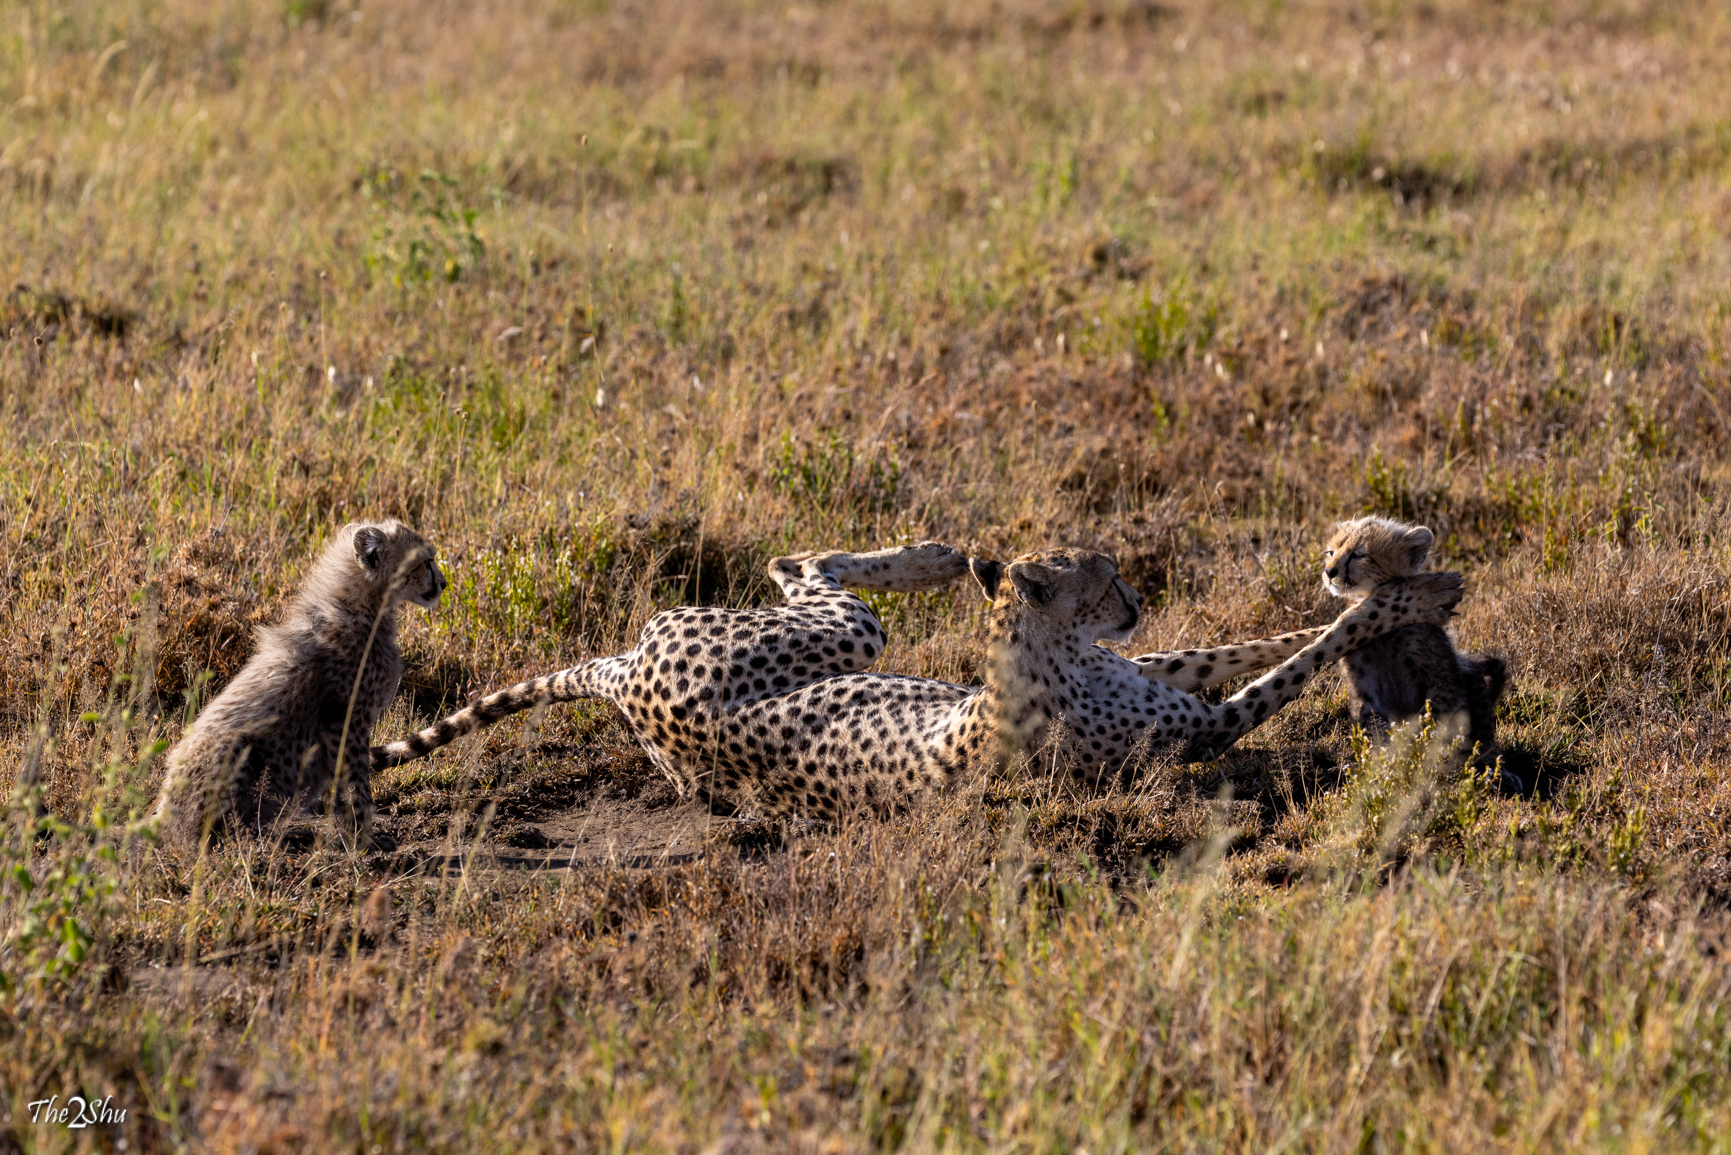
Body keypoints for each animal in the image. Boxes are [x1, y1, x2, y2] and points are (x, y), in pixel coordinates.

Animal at [152, 520, 447, 849]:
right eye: (426, 561)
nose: (444, 583)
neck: (361, 607)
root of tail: (163, 818)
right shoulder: (347, 721)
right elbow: (357, 782)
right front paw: (365, 837)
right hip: (232, 750)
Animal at [370, 540, 1463, 819]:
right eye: (1104, 573)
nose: (1137, 597)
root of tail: (625, 673)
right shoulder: (1201, 726)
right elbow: (1299, 657)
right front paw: (1412, 594)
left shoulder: (1166, 675)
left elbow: (1270, 637)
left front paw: (1391, 580)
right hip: (834, 631)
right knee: (801, 563)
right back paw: (931, 556)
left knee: (791, 558)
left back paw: (942, 556)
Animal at [1322, 516, 1511, 783]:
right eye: (1331, 552)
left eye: (1359, 554)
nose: (1329, 572)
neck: (1382, 626)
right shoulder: (1365, 688)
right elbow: (1374, 725)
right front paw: (1382, 766)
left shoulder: (1441, 679)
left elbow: (1431, 718)